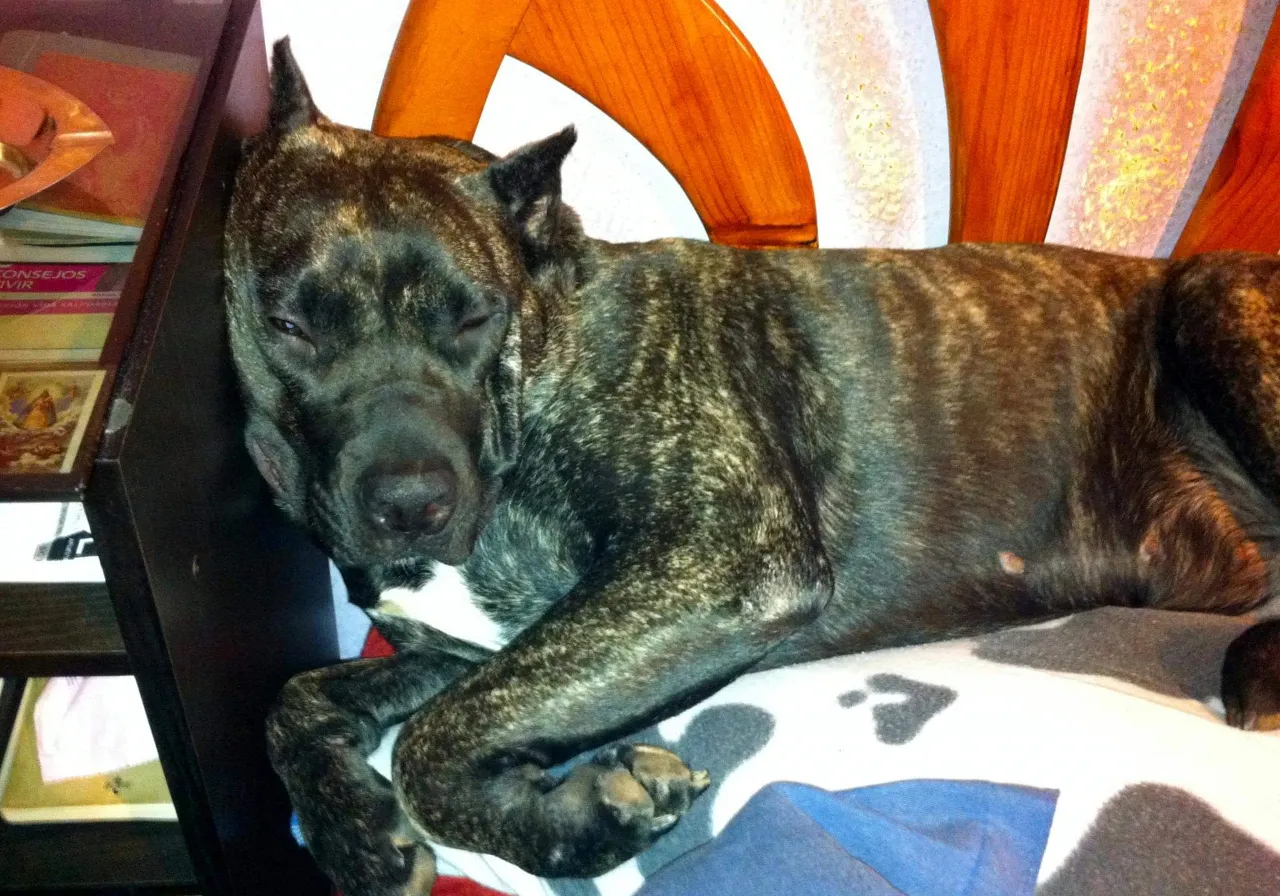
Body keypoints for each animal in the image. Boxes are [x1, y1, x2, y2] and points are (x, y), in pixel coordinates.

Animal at [225, 40, 1280, 896]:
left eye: (473, 317)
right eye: (288, 324)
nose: (410, 503)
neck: (545, 349)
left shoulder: (719, 557)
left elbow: (433, 745)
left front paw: (582, 816)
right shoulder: (467, 649)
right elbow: (300, 698)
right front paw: (358, 835)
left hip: (1212, 294)